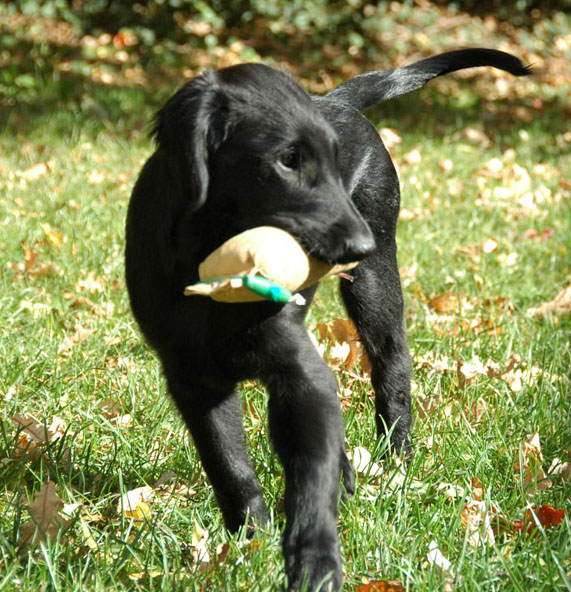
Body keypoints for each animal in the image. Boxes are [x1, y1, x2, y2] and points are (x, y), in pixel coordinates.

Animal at [126, 48, 532, 588]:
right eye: (287, 160)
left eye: (334, 164)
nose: (361, 245)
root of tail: (333, 97)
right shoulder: (192, 377)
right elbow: (229, 466)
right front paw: (249, 540)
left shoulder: (299, 369)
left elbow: (311, 473)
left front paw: (315, 559)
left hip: (375, 283)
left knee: (392, 366)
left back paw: (395, 459)